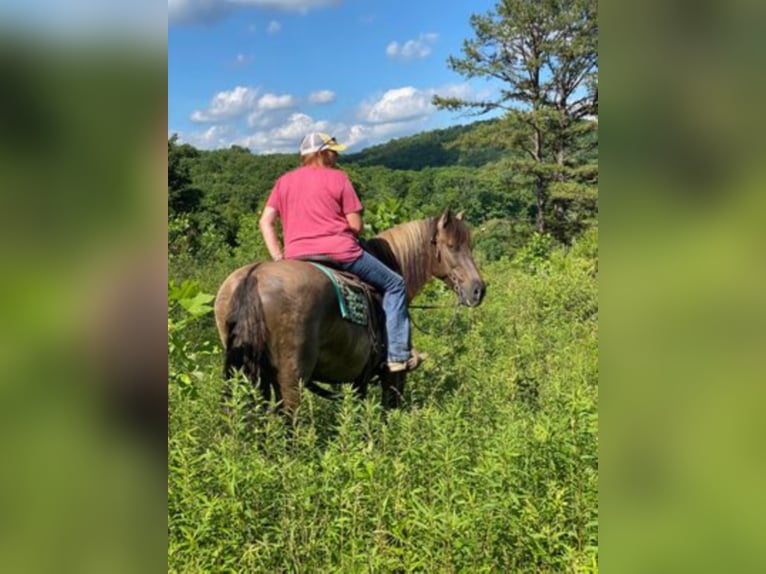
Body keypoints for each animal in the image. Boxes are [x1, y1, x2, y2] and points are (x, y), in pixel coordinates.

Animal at [212, 209, 486, 420]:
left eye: (471, 246)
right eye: (451, 246)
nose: (478, 289)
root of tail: (255, 276)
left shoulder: (357, 377)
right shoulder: (393, 374)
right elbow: (390, 410)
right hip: (291, 377)